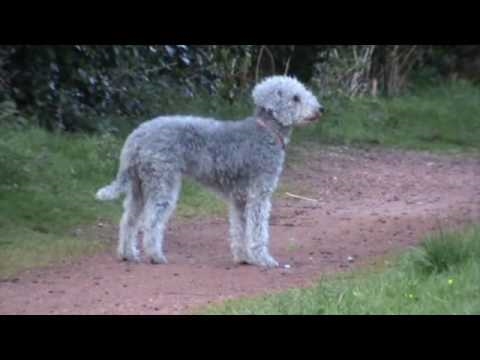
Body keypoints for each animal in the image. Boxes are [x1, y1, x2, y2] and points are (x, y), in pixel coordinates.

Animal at [95, 75, 324, 268]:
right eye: (296, 98)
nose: (320, 109)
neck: (266, 131)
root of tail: (136, 137)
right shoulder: (259, 194)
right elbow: (258, 230)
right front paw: (264, 259)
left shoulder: (240, 199)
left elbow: (239, 229)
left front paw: (244, 258)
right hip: (162, 181)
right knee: (151, 222)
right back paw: (156, 256)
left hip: (139, 185)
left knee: (129, 220)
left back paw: (128, 254)